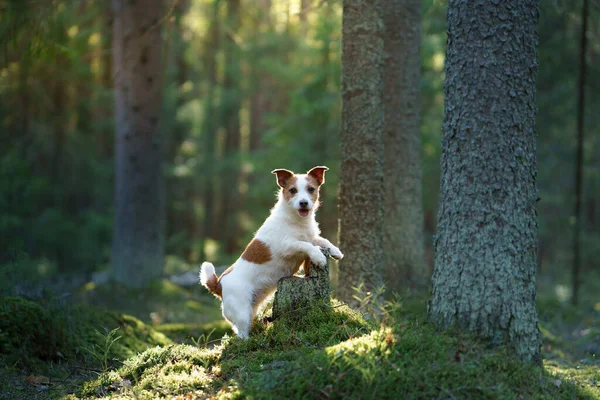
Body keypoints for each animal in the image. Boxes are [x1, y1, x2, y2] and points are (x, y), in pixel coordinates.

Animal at [200, 166, 342, 338]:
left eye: (311, 189)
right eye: (293, 190)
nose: (303, 203)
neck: (296, 221)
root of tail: (219, 284)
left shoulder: (312, 237)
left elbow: (321, 240)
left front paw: (335, 251)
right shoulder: (288, 245)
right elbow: (305, 245)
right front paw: (319, 257)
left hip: (252, 308)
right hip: (242, 312)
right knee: (241, 335)